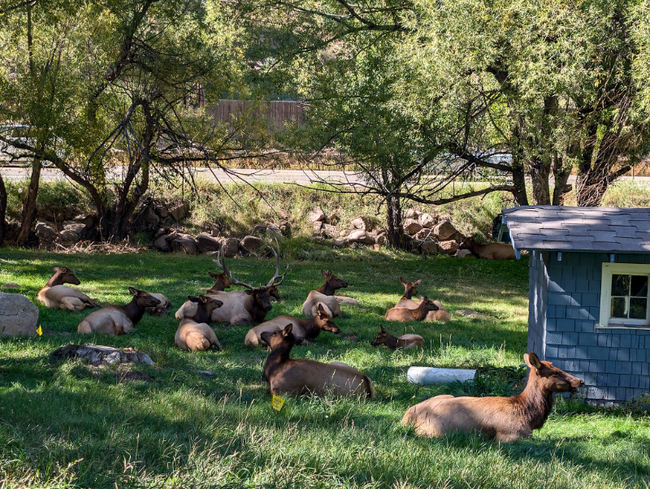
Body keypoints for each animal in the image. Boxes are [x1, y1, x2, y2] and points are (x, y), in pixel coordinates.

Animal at [400, 350, 584, 442]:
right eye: (555, 372)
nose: (580, 381)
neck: (529, 417)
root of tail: (406, 416)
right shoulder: (511, 435)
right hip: (434, 431)